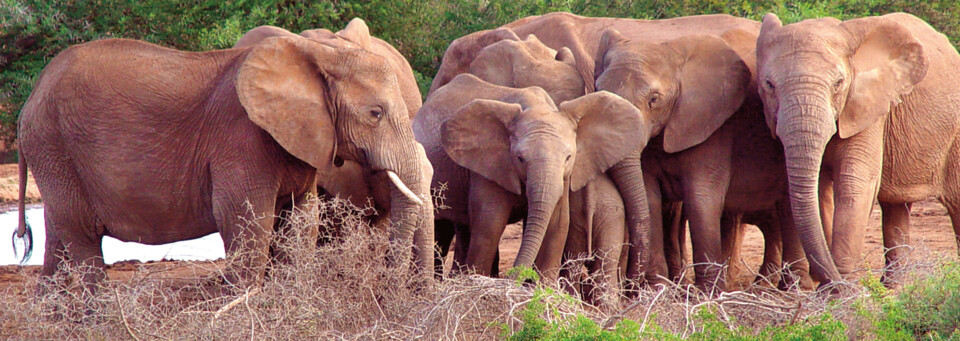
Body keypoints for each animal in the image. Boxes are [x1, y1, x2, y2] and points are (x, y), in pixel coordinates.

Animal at [756, 12, 960, 284]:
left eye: (838, 83)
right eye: (769, 84)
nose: (833, 281)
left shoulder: (868, 109)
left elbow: (855, 184)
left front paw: (840, 289)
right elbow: (819, 191)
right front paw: (831, 285)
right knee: (895, 206)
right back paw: (893, 287)